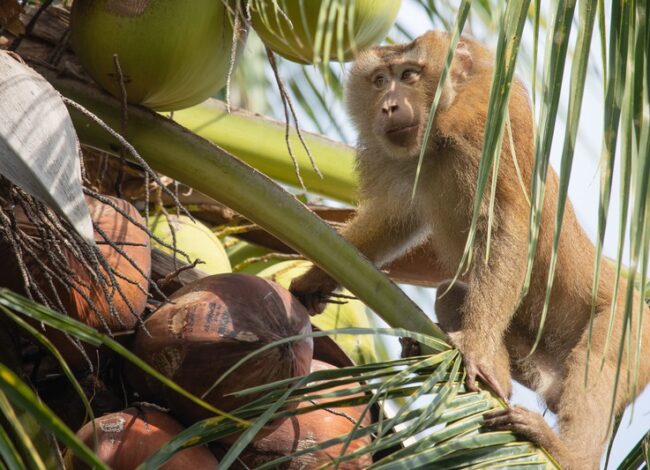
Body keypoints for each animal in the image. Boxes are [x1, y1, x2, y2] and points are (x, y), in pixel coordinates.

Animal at [288, 31, 648, 468]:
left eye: (409, 75)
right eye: (379, 80)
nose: (389, 105)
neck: (439, 136)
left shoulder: (487, 127)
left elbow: (507, 229)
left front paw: (474, 345)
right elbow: (396, 219)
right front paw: (316, 278)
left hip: (632, 327)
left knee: (598, 363)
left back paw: (566, 452)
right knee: (450, 294)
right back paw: (495, 381)